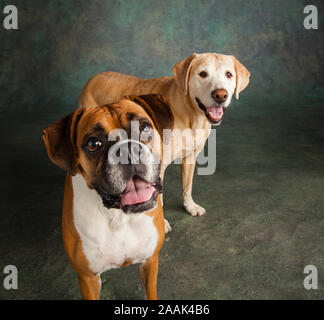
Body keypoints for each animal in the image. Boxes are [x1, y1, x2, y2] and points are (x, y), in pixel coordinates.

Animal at [43, 94, 175, 298]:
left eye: (144, 127)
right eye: (93, 143)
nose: (128, 149)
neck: (118, 215)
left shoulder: (150, 261)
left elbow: (151, 292)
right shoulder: (88, 278)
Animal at [79, 52, 251, 218]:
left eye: (228, 74)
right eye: (203, 74)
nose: (220, 95)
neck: (191, 114)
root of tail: (93, 78)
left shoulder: (190, 157)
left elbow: (187, 186)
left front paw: (190, 206)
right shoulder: (156, 167)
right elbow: (158, 199)